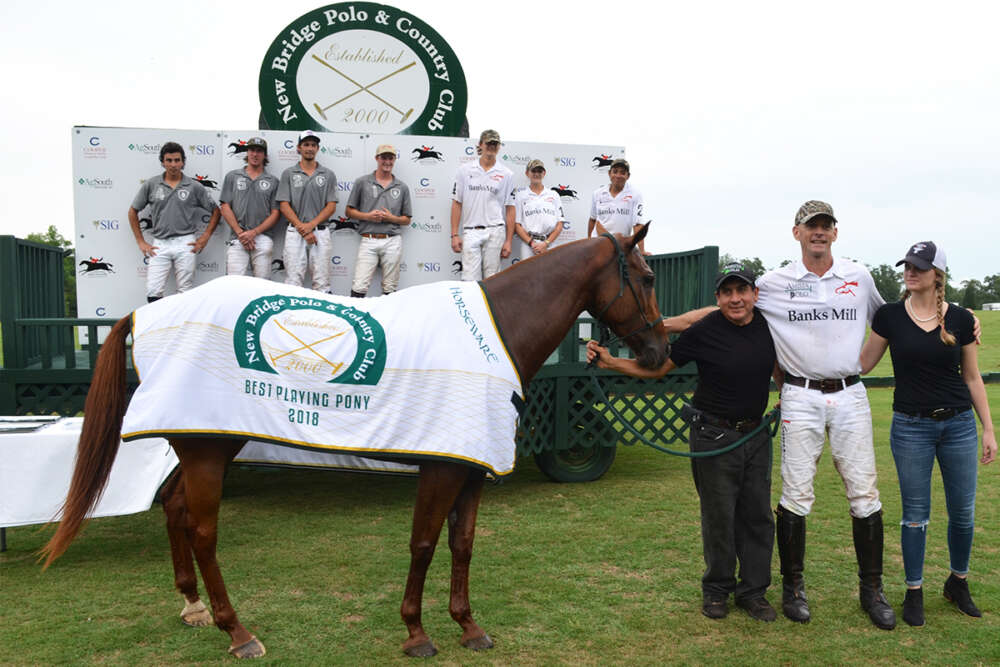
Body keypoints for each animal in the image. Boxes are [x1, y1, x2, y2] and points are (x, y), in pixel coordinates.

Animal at [39, 224, 668, 656]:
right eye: (647, 278)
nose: (660, 353)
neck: (494, 335)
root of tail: (145, 315)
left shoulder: (471, 467)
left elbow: (463, 545)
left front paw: (468, 626)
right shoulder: (442, 467)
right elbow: (424, 543)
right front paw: (416, 632)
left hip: (202, 441)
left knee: (173, 509)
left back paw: (192, 605)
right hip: (209, 450)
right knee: (202, 531)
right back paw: (237, 631)